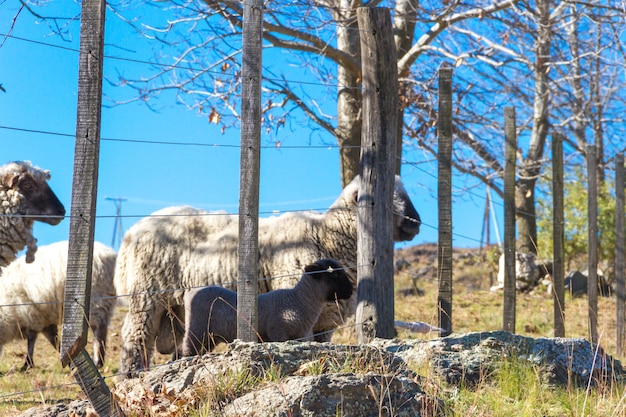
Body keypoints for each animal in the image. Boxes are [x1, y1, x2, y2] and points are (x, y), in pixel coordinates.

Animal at [0, 239, 116, 368]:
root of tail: (111, 256)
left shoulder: (32, 315)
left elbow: (37, 340)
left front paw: (28, 364)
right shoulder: (42, 320)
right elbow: (49, 338)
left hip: (96, 300)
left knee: (99, 330)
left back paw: (98, 361)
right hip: (106, 301)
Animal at [183, 256, 354, 354]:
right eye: (335, 275)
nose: (351, 291)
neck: (299, 300)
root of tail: (190, 293)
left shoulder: (301, 336)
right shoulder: (278, 333)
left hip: (210, 337)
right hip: (197, 329)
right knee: (186, 350)